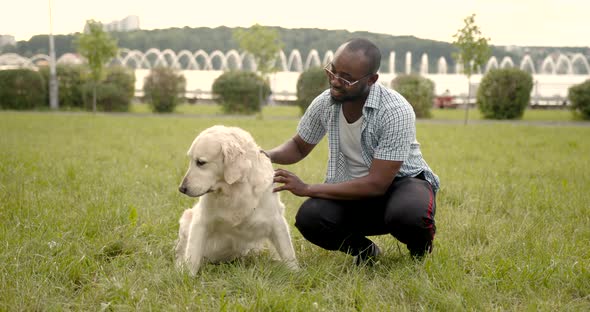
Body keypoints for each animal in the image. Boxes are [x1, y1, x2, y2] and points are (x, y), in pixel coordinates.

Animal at [175, 125, 296, 276]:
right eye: (191, 160)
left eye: (201, 162)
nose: (181, 188)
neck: (235, 190)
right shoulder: (201, 220)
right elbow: (192, 254)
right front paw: (186, 276)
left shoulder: (276, 221)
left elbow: (288, 253)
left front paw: (295, 273)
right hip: (186, 218)